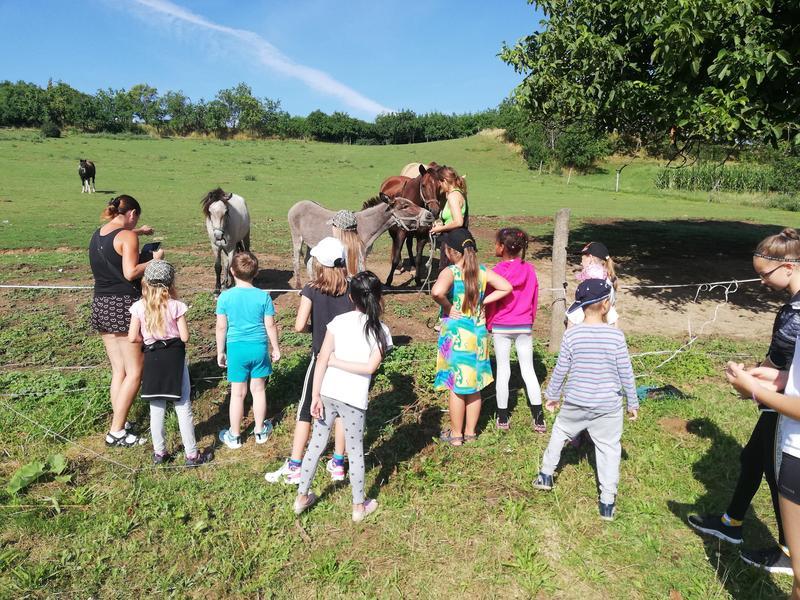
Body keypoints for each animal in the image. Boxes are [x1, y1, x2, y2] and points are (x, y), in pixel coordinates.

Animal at [288, 194, 434, 289]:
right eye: (405, 206)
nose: (430, 215)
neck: (365, 226)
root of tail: (300, 202)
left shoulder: (364, 253)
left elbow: (360, 272)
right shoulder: (354, 253)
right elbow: (356, 272)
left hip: (312, 243)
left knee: (307, 260)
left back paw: (313, 283)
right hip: (297, 237)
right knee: (296, 261)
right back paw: (298, 287)